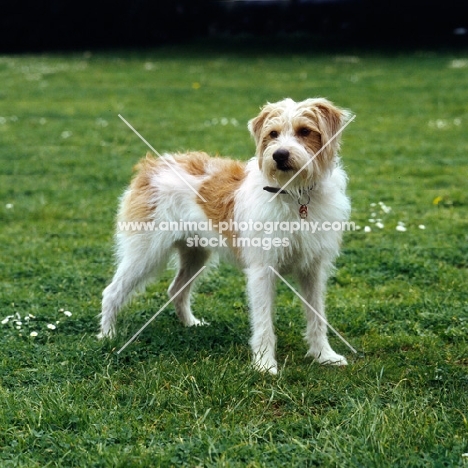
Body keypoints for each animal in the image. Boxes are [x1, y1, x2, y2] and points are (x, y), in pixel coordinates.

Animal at [100, 97, 352, 374]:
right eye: (273, 134)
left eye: (305, 131)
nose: (279, 155)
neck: (294, 193)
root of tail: (151, 166)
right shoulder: (262, 269)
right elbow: (263, 321)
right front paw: (264, 364)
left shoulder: (313, 269)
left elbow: (317, 315)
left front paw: (324, 355)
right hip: (145, 254)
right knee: (111, 291)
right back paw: (107, 335)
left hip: (195, 254)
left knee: (176, 289)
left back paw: (190, 324)